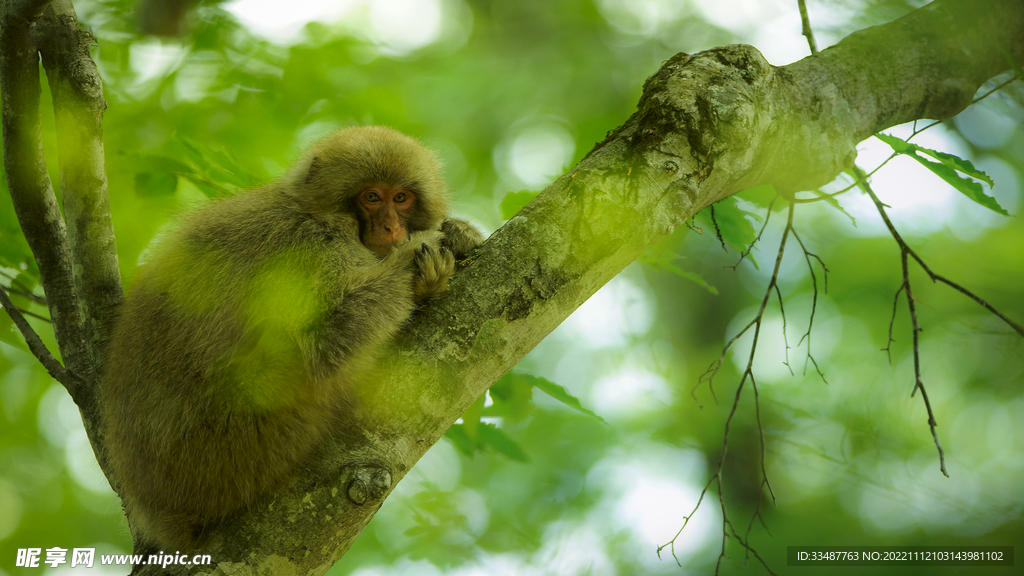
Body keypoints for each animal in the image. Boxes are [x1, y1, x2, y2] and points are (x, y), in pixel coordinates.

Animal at [101, 126, 485, 553]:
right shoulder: (313, 247)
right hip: (235, 446)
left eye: (401, 197)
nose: (391, 229)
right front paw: (418, 260)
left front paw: (460, 234)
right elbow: (317, 348)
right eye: (371, 197)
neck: (316, 212)